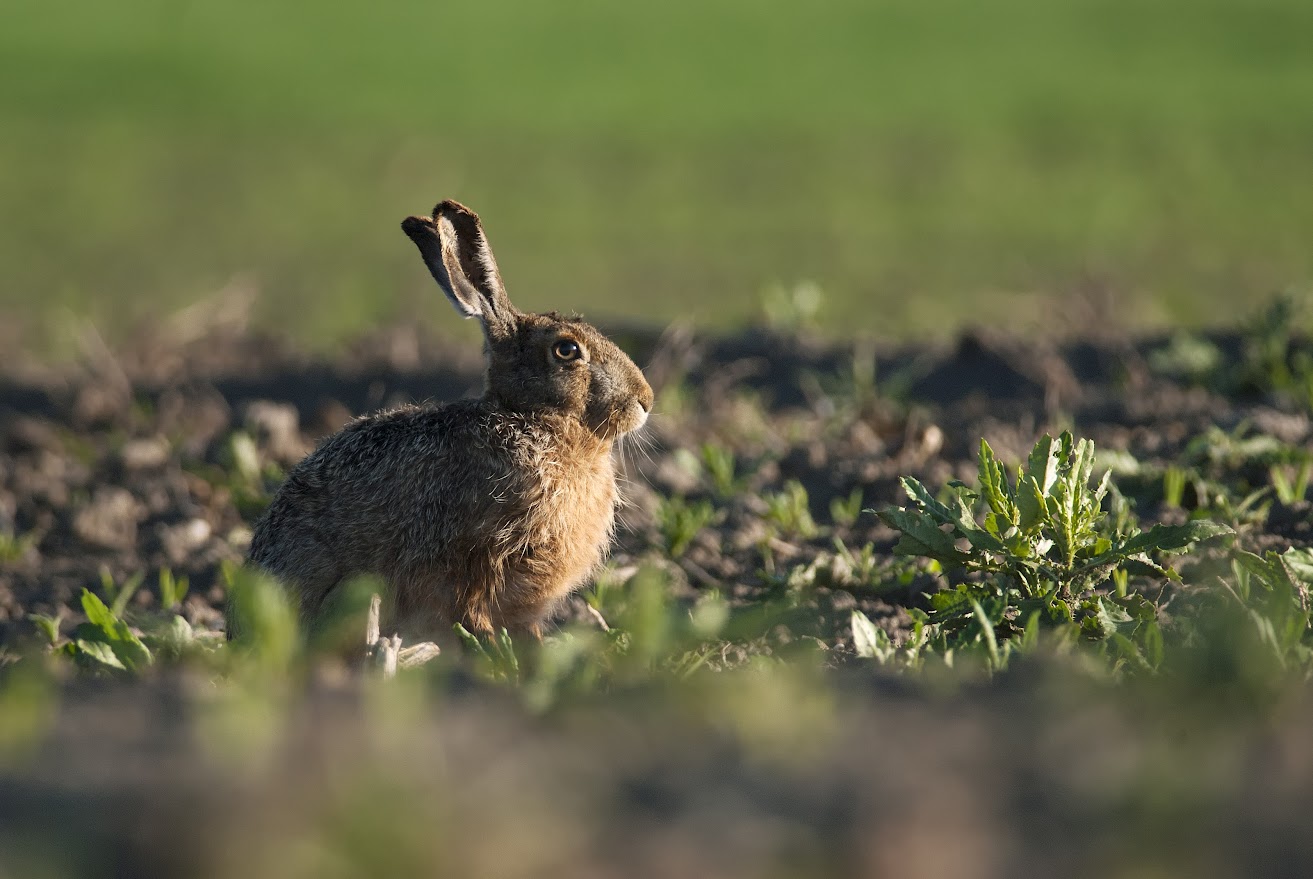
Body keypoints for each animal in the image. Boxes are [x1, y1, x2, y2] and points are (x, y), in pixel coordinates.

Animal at [245, 199, 653, 639]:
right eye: (567, 350)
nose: (645, 400)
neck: (530, 419)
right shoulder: (468, 559)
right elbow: (468, 610)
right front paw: (493, 650)